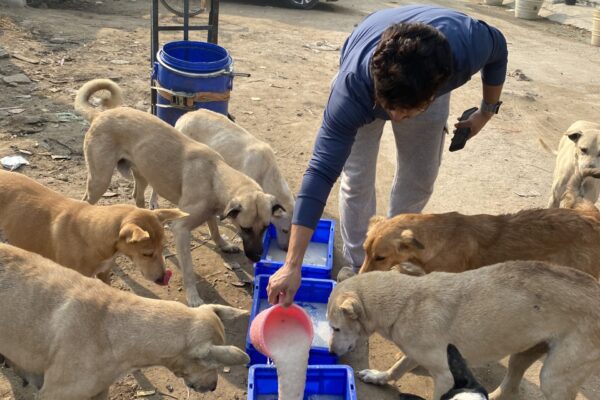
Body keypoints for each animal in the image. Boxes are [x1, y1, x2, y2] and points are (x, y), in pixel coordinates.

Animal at [328, 262, 600, 400]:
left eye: (335, 327)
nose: (330, 353)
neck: (406, 303)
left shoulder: (445, 376)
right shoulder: (415, 354)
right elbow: (397, 368)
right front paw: (378, 377)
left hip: (554, 379)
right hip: (524, 353)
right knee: (509, 386)